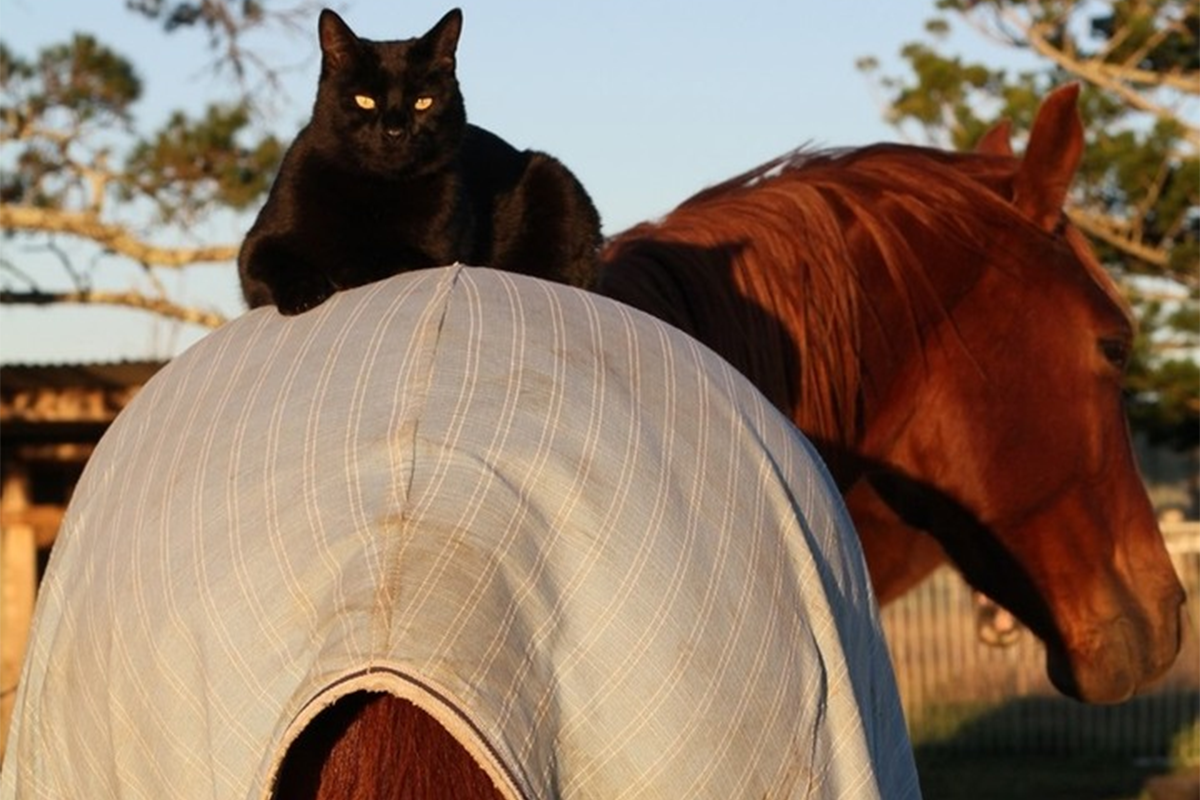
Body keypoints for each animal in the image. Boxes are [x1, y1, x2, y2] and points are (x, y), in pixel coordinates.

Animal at [240, 10, 604, 316]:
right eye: (365, 100)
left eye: (423, 102)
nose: (395, 130)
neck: (374, 191)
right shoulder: (256, 244)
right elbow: (275, 263)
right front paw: (304, 292)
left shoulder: (438, 255)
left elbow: (386, 256)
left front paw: (346, 268)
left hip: (555, 179)